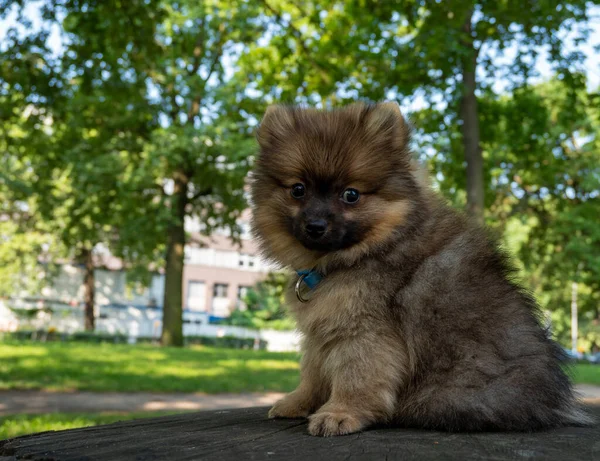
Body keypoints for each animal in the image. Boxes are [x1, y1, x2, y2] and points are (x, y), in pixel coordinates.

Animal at [250, 100, 592, 434]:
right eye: (298, 190)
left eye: (351, 195)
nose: (316, 225)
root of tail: (552, 403)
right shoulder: (323, 330)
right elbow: (312, 372)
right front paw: (297, 402)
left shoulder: (366, 330)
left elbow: (356, 375)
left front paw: (340, 413)